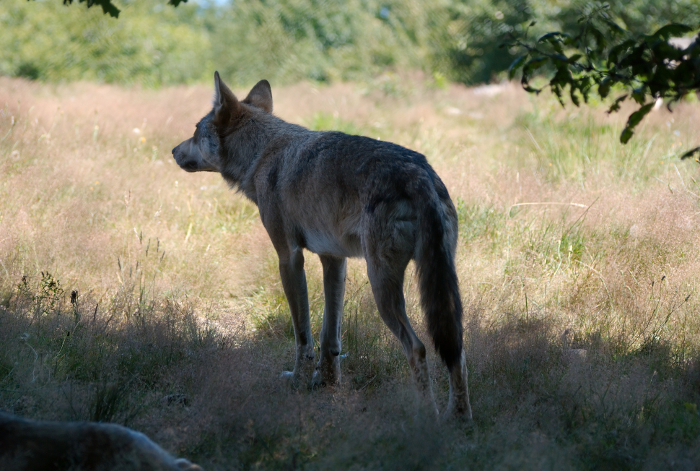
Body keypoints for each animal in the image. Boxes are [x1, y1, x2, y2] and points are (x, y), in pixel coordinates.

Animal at [172, 74, 474, 420]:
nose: (172, 150)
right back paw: (460, 419)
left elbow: (302, 334)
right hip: (439, 288)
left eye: (195, 130)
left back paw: (428, 418)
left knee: (418, 347)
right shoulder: (334, 259)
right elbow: (330, 336)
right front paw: (326, 382)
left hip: (381, 288)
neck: (262, 155)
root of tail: (420, 174)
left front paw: (297, 382)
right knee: (456, 351)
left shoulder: (288, 257)